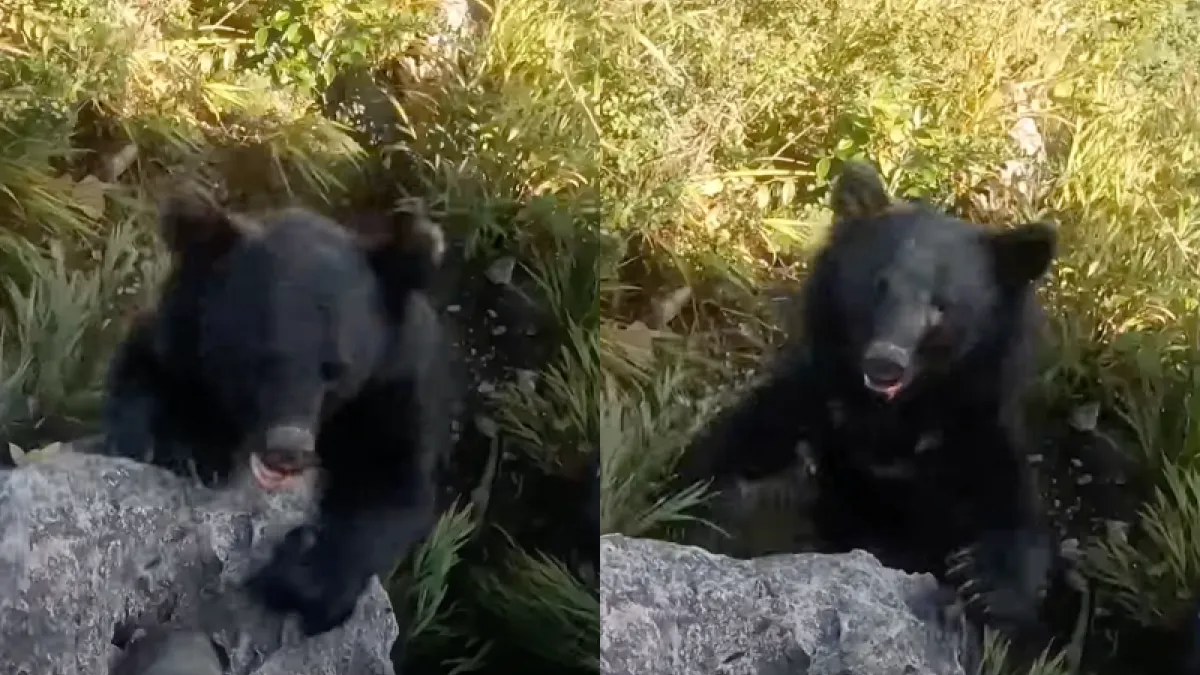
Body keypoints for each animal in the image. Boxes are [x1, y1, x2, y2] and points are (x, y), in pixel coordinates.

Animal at [98, 186, 455, 639]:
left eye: (334, 369)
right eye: (259, 360)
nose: (288, 451)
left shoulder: (394, 383)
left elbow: (394, 480)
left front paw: (303, 575)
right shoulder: (181, 329)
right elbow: (146, 365)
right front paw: (183, 441)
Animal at [678, 160, 1062, 638]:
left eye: (941, 308)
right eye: (879, 286)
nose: (885, 363)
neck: (889, 418)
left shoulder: (971, 429)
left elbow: (1006, 503)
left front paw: (984, 582)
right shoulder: (812, 401)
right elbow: (728, 456)